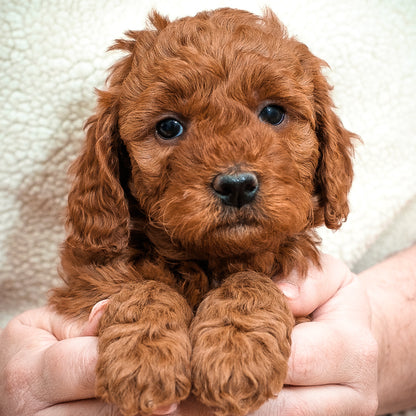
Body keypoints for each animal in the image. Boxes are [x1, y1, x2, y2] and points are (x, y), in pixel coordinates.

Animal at [48, 7, 354, 416]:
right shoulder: (89, 287)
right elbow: (146, 286)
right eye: (169, 127)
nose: (236, 185)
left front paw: (235, 355)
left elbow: (250, 281)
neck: (207, 261)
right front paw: (142, 359)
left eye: (273, 113)